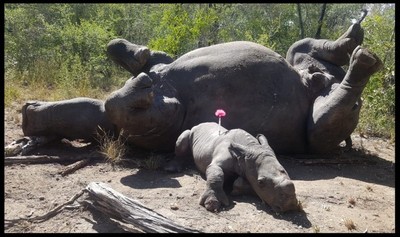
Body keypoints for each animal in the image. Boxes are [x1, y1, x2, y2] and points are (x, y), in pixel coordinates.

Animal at [164, 122, 298, 213]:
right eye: (261, 182)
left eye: (284, 171)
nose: (289, 207)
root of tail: (199, 124)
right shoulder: (217, 163)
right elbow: (217, 174)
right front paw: (212, 204)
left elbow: (241, 182)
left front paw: (237, 188)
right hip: (191, 131)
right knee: (183, 137)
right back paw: (172, 169)